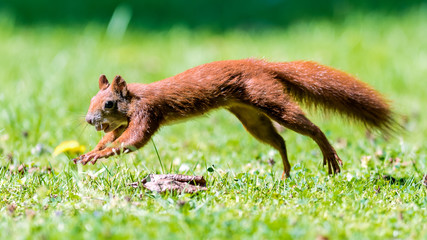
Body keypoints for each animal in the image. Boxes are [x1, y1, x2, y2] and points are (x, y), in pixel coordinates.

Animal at [72, 58, 398, 177]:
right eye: (90, 101)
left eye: (109, 103)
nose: (88, 120)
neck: (136, 96)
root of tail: (263, 65)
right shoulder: (123, 123)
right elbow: (113, 137)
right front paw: (90, 152)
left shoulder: (146, 112)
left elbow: (133, 140)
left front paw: (96, 156)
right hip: (251, 117)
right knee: (278, 140)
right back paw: (285, 171)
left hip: (267, 97)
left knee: (309, 127)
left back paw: (327, 153)